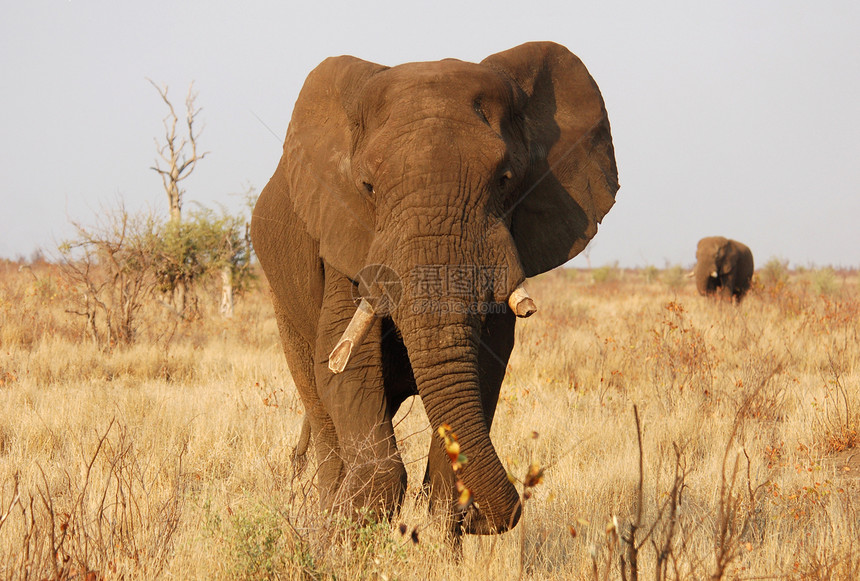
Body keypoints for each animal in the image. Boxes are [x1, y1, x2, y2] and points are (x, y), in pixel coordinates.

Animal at [249, 40, 620, 536]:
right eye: (368, 186)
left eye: (505, 180)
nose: (484, 519)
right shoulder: (344, 236)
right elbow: (343, 368)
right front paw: (350, 524)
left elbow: (487, 365)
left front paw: (447, 519)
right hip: (282, 299)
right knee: (321, 404)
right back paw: (326, 516)